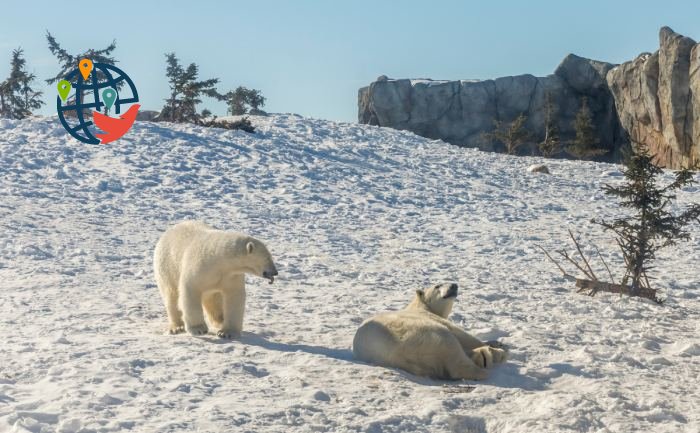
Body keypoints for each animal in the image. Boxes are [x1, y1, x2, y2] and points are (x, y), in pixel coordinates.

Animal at [352, 280, 506, 378]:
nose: (454, 286)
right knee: (452, 349)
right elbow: (461, 334)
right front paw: (495, 344)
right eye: (437, 286)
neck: (419, 306)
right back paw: (491, 359)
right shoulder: (429, 317)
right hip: (422, 334)